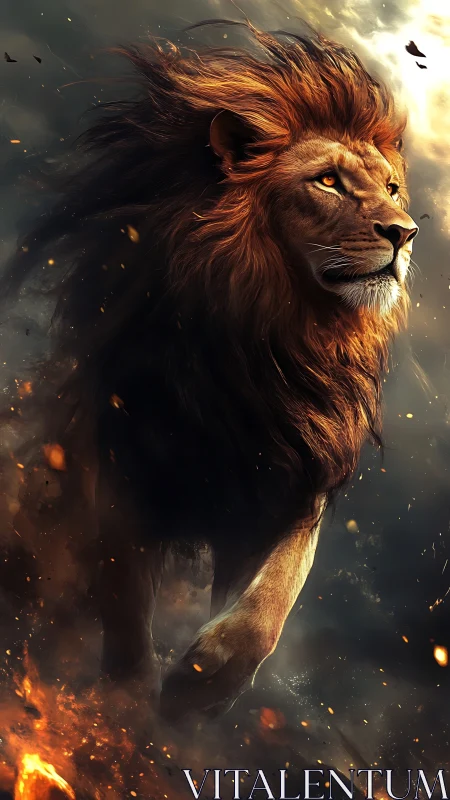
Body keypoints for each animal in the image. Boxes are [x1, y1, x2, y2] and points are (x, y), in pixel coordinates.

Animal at [0, 21, 418, 720]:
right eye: (328, 182)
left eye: (389, 189)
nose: (405, 233)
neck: (274, 336)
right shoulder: (120, 461)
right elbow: (124, 602)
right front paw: (129, 704)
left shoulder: (297, 476)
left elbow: (273, 600)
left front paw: (204, 684)